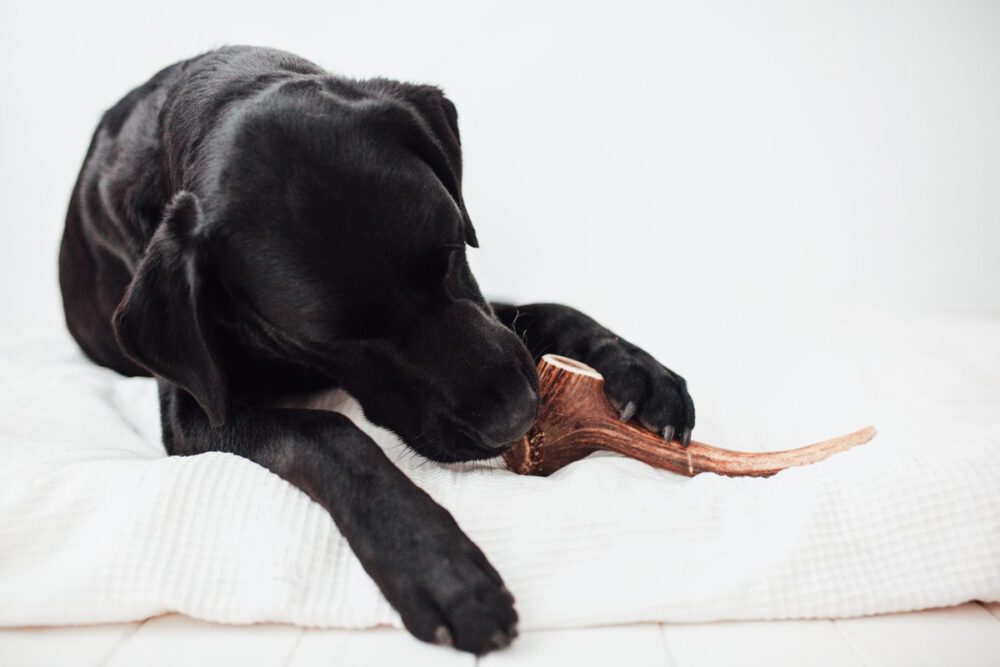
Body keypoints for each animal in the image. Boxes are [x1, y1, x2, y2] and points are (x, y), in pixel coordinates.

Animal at [56, 47, 696, 656]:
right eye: (334, 340)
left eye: (451, 253)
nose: (518, 416)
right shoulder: (196, 414)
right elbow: (327, 435)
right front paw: (438, 565)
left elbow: (542, 311)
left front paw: (636, 368)